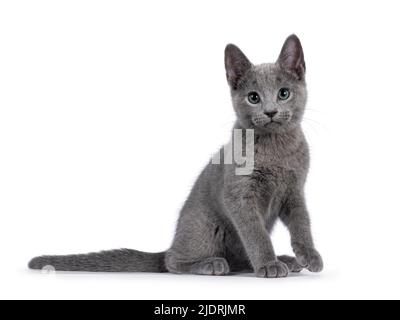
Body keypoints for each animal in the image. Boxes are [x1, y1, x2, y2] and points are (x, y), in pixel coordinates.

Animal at [28, 34, 322, 278]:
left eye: (283, 93)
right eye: (253, 97)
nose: (271, 111)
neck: (277, 150)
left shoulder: (295, 191)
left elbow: (302, 224)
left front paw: (309, 256)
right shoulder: (240, 196)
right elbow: (257, 235)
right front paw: (269, 264)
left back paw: (286, 260)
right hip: (205, 227)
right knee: (172, 262)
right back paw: (213, 264)